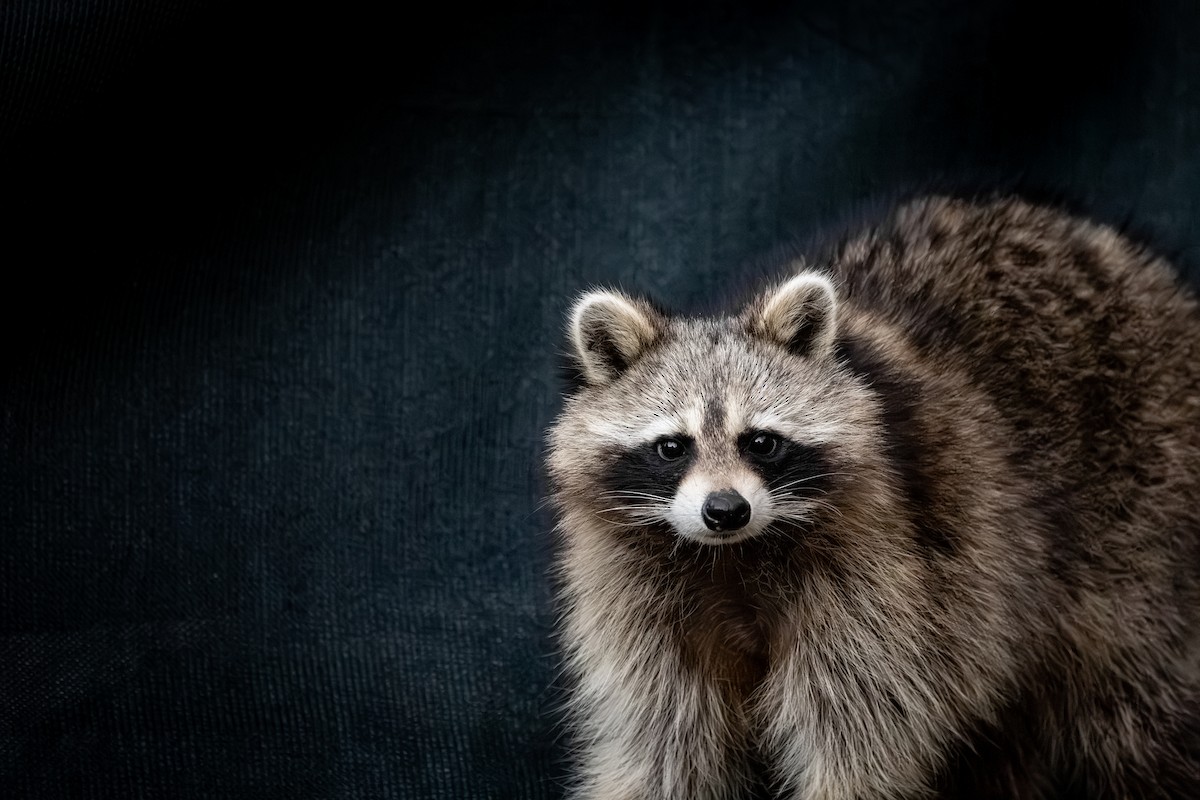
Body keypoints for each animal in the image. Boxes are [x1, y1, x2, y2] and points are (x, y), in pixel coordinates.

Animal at [544, 196, 1200, 800]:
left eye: (762, 442)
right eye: (672, 448)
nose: (725, 511)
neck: (733, 555)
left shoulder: (883, 574)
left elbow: (860, 727)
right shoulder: (638, 603)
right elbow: (663, 737)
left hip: (1144, 514)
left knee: (1134, 703)